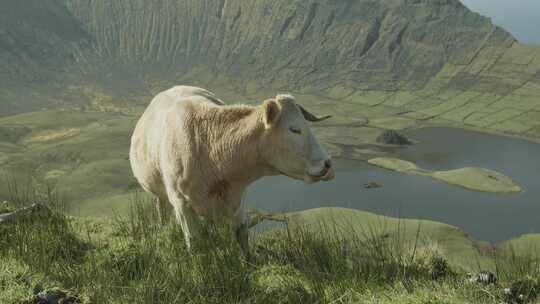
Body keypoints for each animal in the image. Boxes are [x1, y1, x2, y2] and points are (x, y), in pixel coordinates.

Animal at [130, 85, 334, 252]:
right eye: (294, 129)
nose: (328, 164)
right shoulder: (182, 205)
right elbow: (194, 243)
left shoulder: (238, 201)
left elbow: (242, 237)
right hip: (161, 196)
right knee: (162, 213)